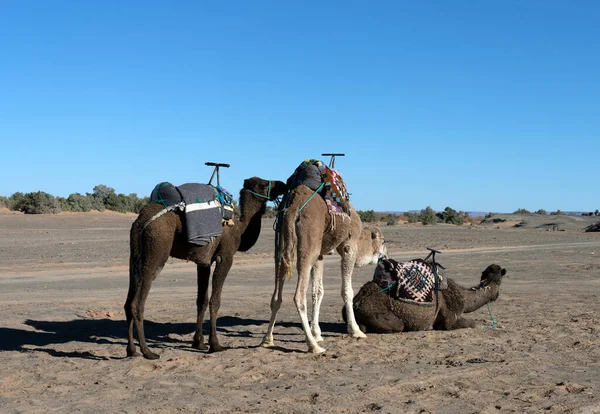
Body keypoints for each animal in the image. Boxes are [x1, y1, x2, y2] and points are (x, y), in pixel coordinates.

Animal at [124, 178, 286, 360]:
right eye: (263, 184)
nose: (283, 184)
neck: (239, 228)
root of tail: (142, 220)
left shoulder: (204, 262)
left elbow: (201, 300)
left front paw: (199, 342)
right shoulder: (225, 257)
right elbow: (215, 300)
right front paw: (215, 344)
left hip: (135, 256)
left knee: (128, 303)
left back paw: (132, 350)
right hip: (156, 250)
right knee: (137, 304)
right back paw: (147, 351)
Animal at [262, 162, 384, 352]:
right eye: (383, 242)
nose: (385, 255)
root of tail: (294, 205)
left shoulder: (320, 255)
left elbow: (317, 291)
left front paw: (318, 333)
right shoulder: (349, 246)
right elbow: (347, 291)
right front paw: (355, 331)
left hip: (281, 242)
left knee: (277, 293)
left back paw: (268, 339)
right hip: (308, 242)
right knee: (298, 295)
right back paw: (313, 346)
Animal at [342, 266, 506, 334]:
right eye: (499, 282)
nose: (496, 295)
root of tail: (357, 300)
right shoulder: (450, 317)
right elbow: (471, 323)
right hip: (372, 309)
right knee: (398, 325)